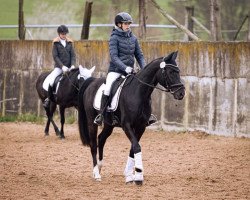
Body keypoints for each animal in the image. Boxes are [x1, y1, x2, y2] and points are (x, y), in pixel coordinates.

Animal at [78, 51, 186, 184]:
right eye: (170, 72)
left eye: (178, 71)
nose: (181, 93)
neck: (139, 92)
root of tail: (92, 82)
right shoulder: (127, 125)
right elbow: (136, 146)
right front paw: (138, 176)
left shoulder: (141, 127)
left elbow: (133, 148)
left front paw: (129, 175)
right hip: (91, 121)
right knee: (93, 144)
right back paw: (96, 174)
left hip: (109, 124)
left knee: (101, 139)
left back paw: (99, 167)